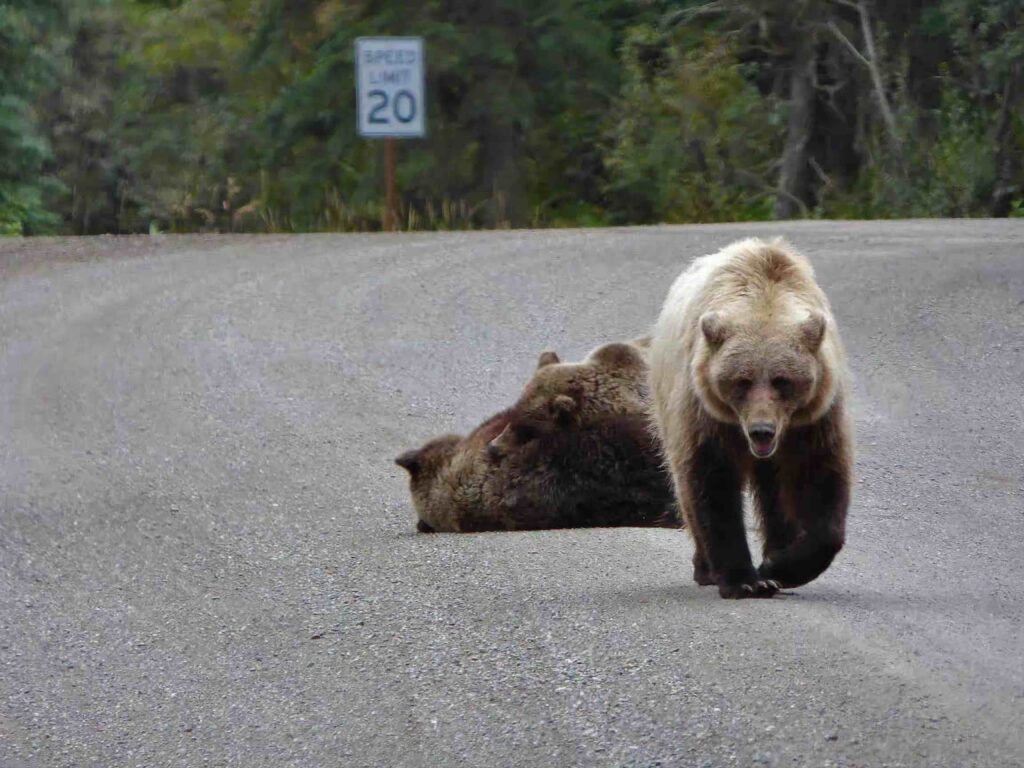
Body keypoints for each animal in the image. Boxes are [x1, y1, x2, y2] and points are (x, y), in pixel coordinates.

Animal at [651, 237, 851, 598]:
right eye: (741, 381)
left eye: (782, 380)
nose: (761, 430)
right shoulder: (707, 415)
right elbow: (713, 484)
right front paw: (744, 579)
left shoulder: (813, 419)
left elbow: (821, 480)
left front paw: (779, 567)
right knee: (684, 486)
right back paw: (705, 567)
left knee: (775, 495)